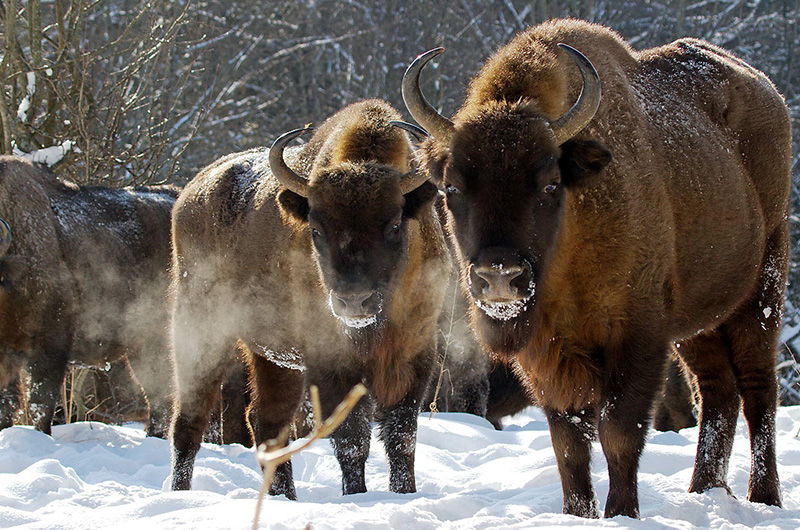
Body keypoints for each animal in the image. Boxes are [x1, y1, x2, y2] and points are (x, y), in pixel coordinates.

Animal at [168, 98, 450, 496]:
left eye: (395, 224)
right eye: (315, 229)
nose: (354, 302)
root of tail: (189, 197)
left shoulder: (415, 356)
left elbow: (401, 438)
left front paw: (405, 494)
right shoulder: (330, 364)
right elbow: (352, 440)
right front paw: (357, 495)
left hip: (273, 358)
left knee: (266, 422)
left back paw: (284, 497)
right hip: (199, 334)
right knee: (189, 421)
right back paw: (181, 493)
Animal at [404, 19, 792, 516]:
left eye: (550, 184)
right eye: (451, 187)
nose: (500, 277)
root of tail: (769, 91)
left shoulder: (637, 336)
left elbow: (619, 431)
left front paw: (622, 513)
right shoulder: (547, 355)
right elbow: (568, 442)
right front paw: (578, 512)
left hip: (763, 287)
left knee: (758, 387)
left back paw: (764, 498)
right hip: (698, 321)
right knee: (716, 389)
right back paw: (703, 490)